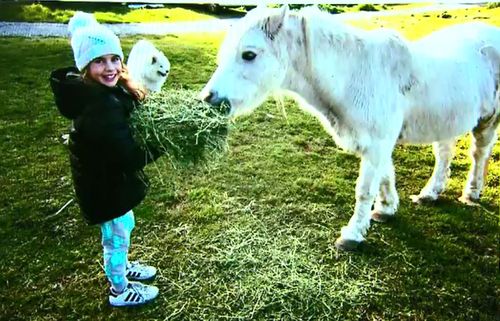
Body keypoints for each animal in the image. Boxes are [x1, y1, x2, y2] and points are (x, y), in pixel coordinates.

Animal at [200, 5, 500, 250]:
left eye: (249, 55)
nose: (209, 98)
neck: (356, 74)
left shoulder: (377, 143)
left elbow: (365, 189)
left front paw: (352, 234)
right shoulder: (379, 144)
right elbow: (385, 177)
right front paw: (386, 209)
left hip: (488, 119)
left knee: (479, 154)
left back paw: (472, 193)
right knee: (445, 154)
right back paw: (430, 193)